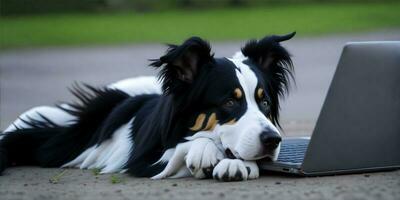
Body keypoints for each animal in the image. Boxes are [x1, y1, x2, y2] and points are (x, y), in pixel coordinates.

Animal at [0, 32, 296, 181]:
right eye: (229, 101)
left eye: (265, 101)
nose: (273, 140)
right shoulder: (143, 161)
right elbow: (186, 147)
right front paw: (204, 150)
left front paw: (238, 165)